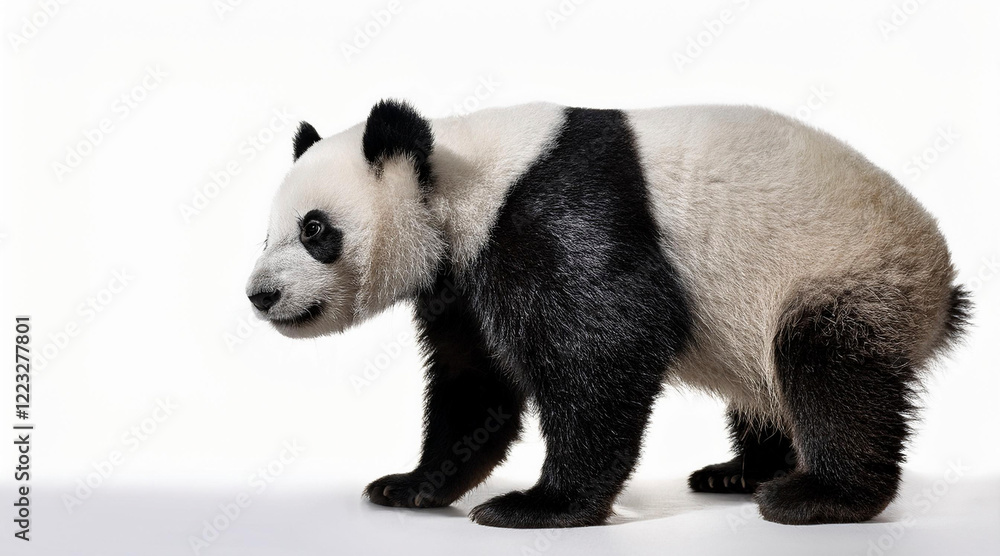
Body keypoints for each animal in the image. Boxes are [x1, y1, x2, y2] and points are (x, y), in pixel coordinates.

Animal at [245, 99, 970, 528]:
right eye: (267, 232)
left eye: (315, 230)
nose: (261, 295)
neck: (462, 175)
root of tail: (942, 294)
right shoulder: (462, 279)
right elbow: (475, 385)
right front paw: (412, 485)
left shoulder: (559, 213)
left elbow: (607, 345)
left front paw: (540, 505)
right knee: (770, 386)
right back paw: (740, 471)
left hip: (846, 272)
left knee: (829, 371)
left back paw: (819, 495)